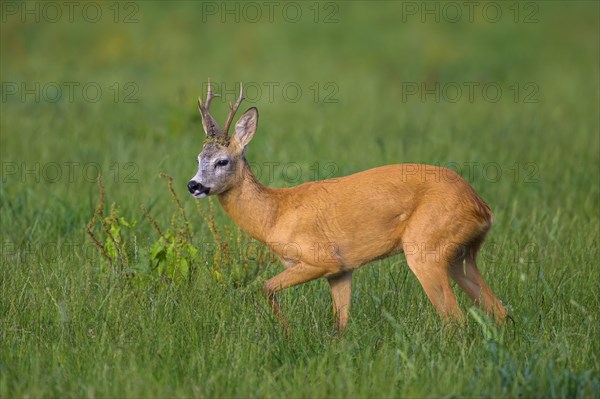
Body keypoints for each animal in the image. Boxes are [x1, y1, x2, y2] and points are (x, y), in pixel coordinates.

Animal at [186, 81, 506, 334]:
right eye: (198, 158)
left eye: (222, 161)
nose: (194, 185)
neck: (275, 214)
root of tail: (481, 206)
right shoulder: (341, 270)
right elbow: (340, 326)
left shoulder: (321, 258)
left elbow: (265, 287)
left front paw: (287, 334)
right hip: (460, 255)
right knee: (499, 310)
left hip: (426, 248)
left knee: (456, 319)